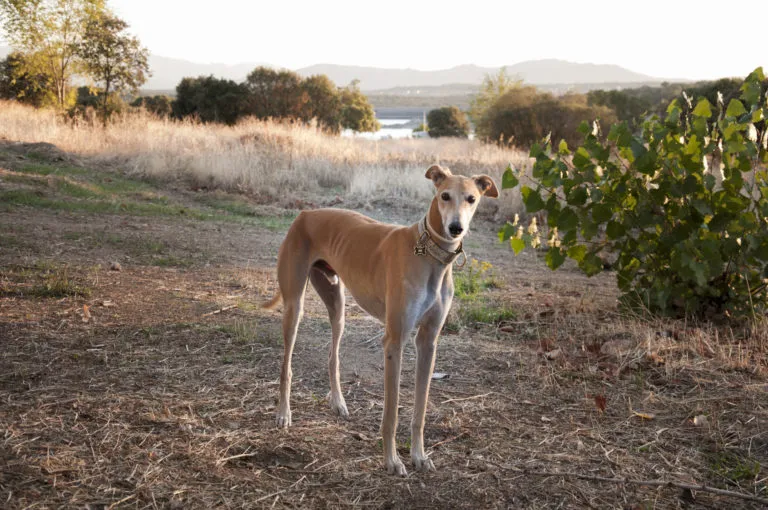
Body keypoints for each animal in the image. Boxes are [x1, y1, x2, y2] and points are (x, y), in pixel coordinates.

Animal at [264, 165, 498, 476]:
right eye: (444, 196)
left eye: (472, 198)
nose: (455, 228)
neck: (428, 254)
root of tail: (305, 213)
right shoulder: (394, 342)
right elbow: (391, 413)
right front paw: (392, 460)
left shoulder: (428, 342)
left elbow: (420, 410)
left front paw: (419, 456)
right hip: (294, 305)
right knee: (286, 365)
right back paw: (283, 413)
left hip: (337, 304)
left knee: (333, 356)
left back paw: (338, 402)